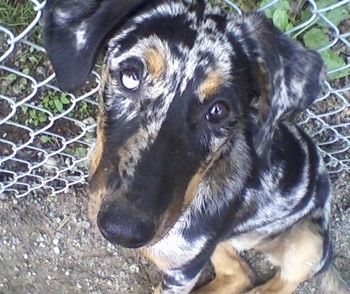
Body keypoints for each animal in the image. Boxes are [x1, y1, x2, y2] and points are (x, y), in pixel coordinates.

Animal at [42, 1, 348, 292]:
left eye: (218, 110)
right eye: (130, 76)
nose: (123, 230)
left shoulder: (182, 272)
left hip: (309, 243)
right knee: (240, 273)